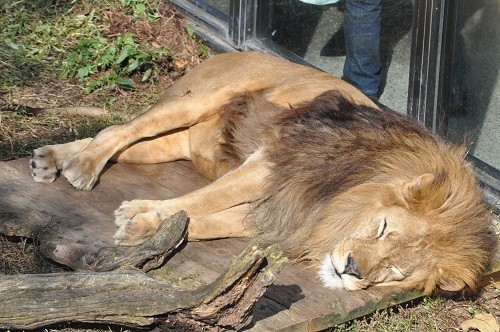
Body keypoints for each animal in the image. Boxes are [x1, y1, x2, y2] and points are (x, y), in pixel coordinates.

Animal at [29, 50, 494, 294]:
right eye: (382, 229)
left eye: (395, 272)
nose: (351, 270)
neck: (344, 197)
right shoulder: (270, 162)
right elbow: (207, 198)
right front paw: (140, 215)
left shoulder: (284, 215)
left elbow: (204, 221)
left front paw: (145, 228)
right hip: (200, 99)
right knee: (117, 130)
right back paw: (80, 168)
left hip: (166, 146)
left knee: (117, 141)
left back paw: (52, 159)